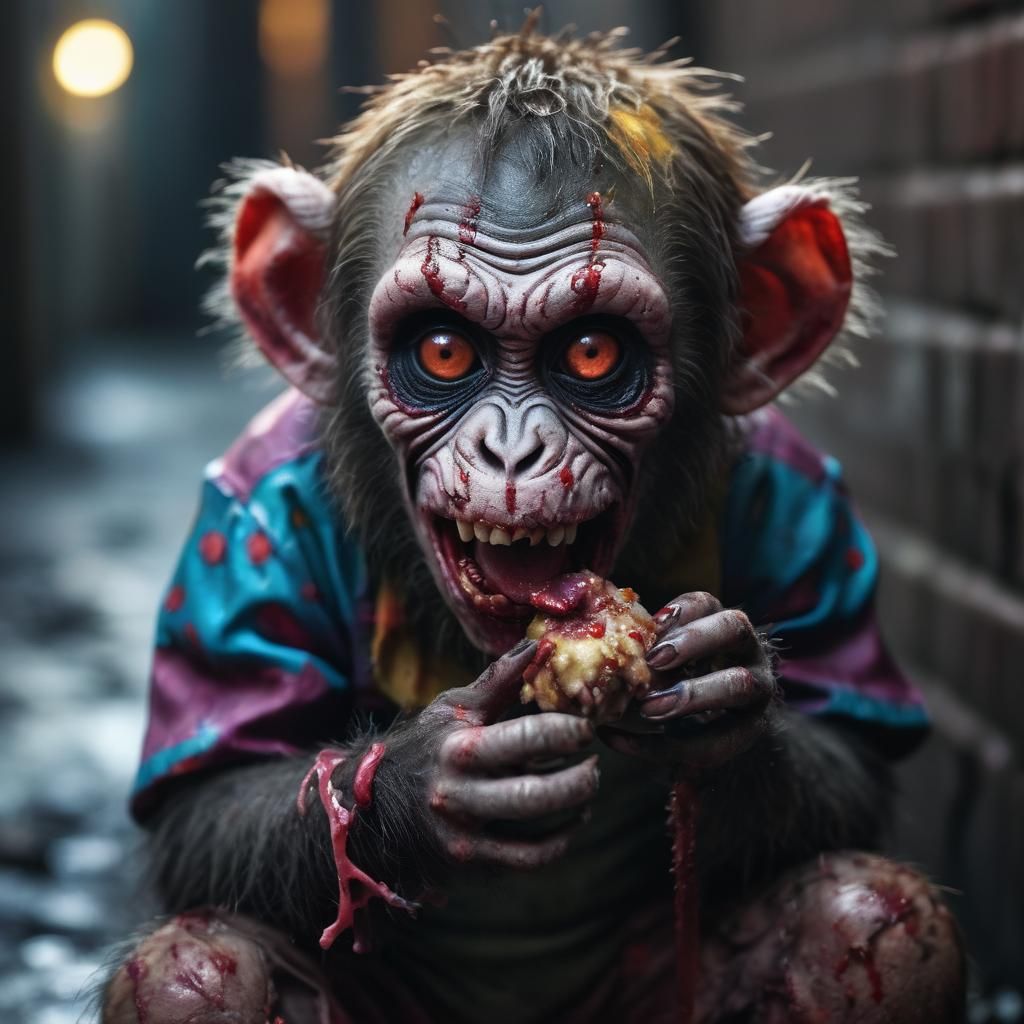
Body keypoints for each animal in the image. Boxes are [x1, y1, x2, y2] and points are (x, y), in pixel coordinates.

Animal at [102, 25, 966, 1024]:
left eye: (590, 353)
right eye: (445, 350)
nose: (512, 450)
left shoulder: (805, 496)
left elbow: (852, 762)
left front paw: (727, 693)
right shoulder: (245, 520)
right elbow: (210, 800)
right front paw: (426, 785)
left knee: (868, 917)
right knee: (196, 973)